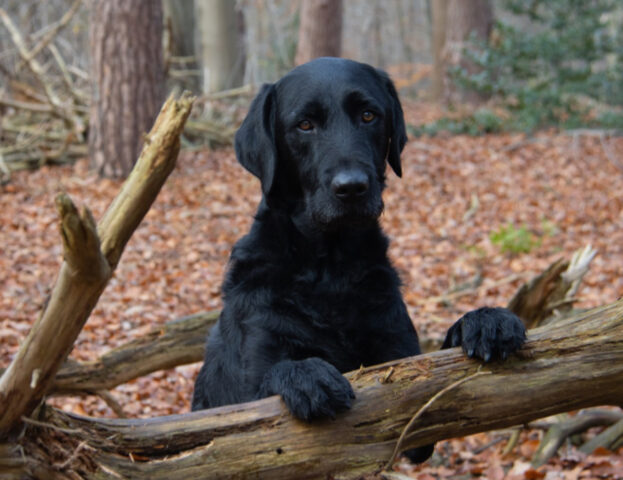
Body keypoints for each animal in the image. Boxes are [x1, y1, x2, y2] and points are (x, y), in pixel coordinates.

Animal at [191, 58, 528, 464]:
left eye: (369, 115)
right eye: (305, 124)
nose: (351, 187)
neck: (330, 269)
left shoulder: (401, 368)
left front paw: (485, 320)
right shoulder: (247, 394)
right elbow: (270, 384)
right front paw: (306, 374)